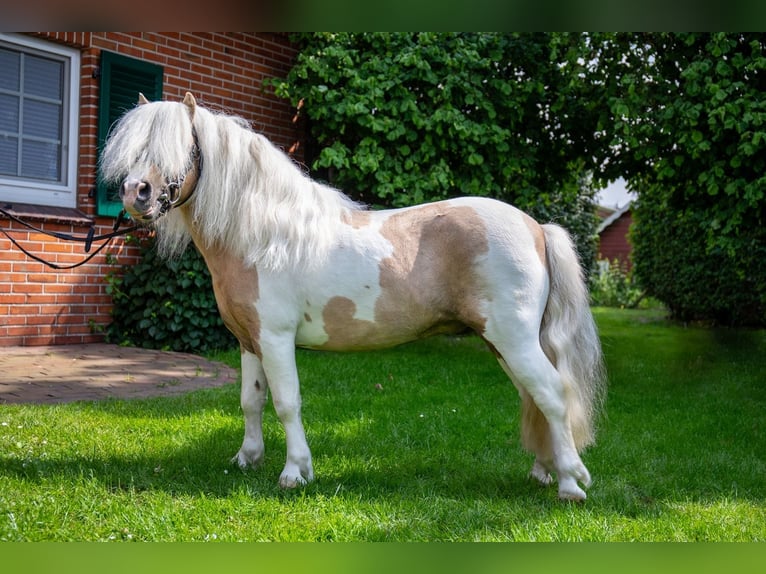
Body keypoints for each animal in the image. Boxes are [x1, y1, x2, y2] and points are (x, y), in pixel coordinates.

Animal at [100, 92, 608, 502]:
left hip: (513, 339)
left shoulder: (277, 339)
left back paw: (570, 484)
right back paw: (543, 472)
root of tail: (535, 226)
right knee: (534, 397)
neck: (262, 236)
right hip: (502, 343)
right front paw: (247, 459)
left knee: (552, 394)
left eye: (179, 148)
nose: (135, 193)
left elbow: (287, 401)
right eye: (134, 149)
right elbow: (251, 400)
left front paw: (295, 473)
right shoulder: (249, 341)